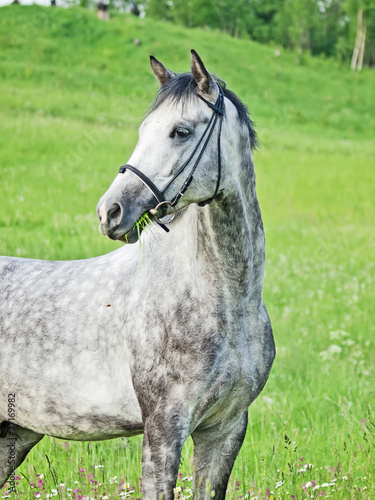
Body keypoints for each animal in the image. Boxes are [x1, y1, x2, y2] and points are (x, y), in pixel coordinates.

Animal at [0, 51, 276, 500]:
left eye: (180, 131)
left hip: (14, 433)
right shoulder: (163, 432)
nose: (109, 212)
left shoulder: (225, 430)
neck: (224, 302)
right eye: (144, 130)